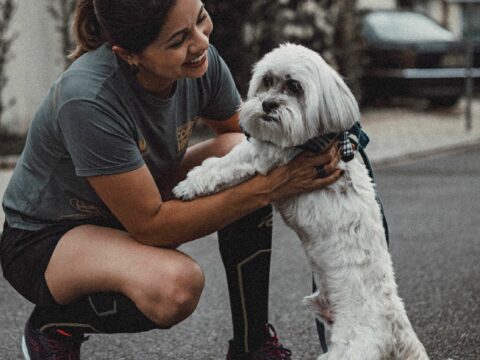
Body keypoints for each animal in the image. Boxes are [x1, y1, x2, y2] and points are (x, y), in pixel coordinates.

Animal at [174, 43, 430, 358]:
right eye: (267, 81)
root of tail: (395, 325)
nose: (268, 105)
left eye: (294, 86)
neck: (315, 138)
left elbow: (224, 165)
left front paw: (189, 185)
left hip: (350, 348)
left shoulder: (264, 157)